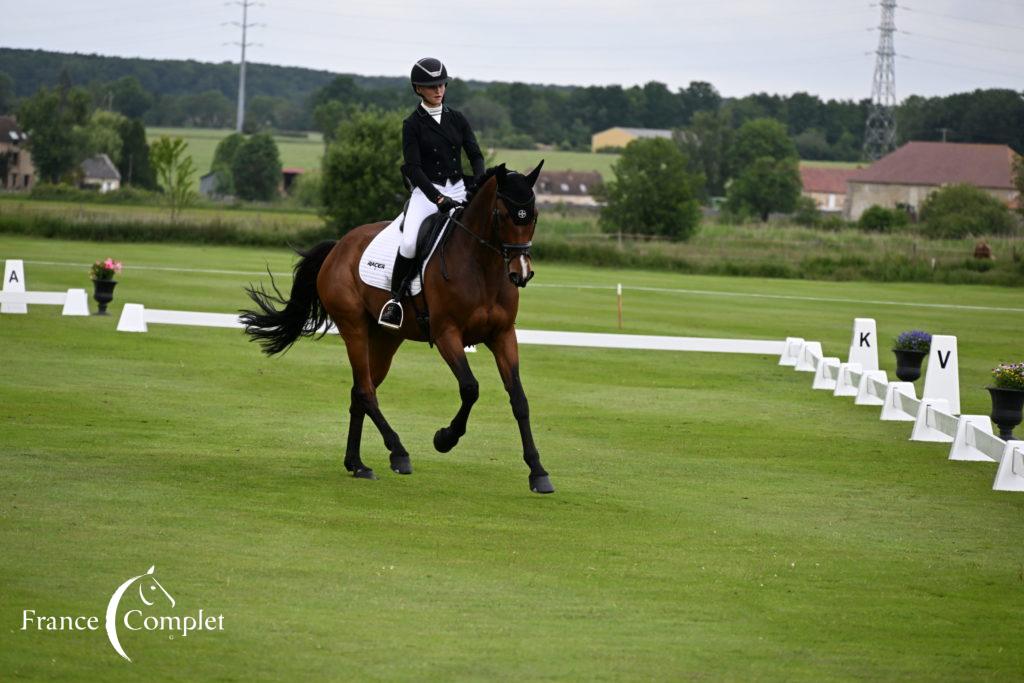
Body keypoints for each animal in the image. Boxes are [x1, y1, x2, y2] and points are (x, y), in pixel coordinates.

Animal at [240, 162, 557, 493]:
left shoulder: (503, 336)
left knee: (359, 391)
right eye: (504, 215)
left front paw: (538, 471)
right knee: (366, 391)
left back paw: (357, 464)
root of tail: (339, 246)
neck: (482, 268)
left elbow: (519, 399)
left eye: (533, 216)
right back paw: (398, 452)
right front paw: (444, 439)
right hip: (354, 328)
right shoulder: (447, 335)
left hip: (386, 338)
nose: (521, 273)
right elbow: (470, 388)